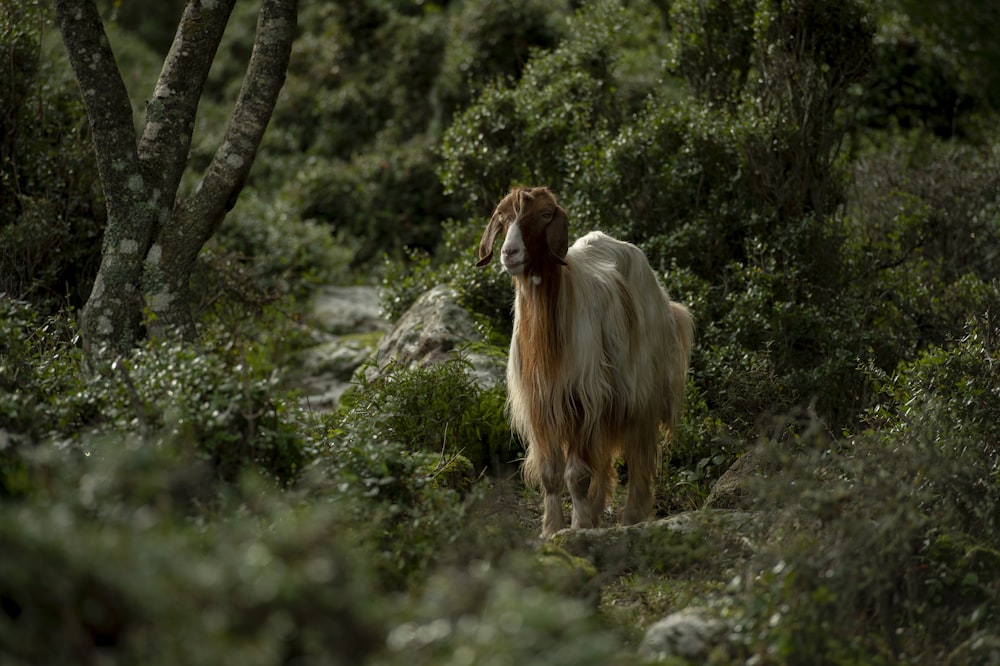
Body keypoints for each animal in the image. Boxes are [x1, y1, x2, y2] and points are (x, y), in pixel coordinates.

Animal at [476, 185, 696, 536]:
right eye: (502, 217)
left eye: (545, 214)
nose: (509, 253)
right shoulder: (541, 405)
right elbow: (551, 473)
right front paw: (552, 529)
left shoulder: (581, 399)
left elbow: (576, 475)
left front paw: (577, 527)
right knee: (604, 461)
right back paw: (596, 514)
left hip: (643, 392)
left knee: (640, 456)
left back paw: (631, 517)